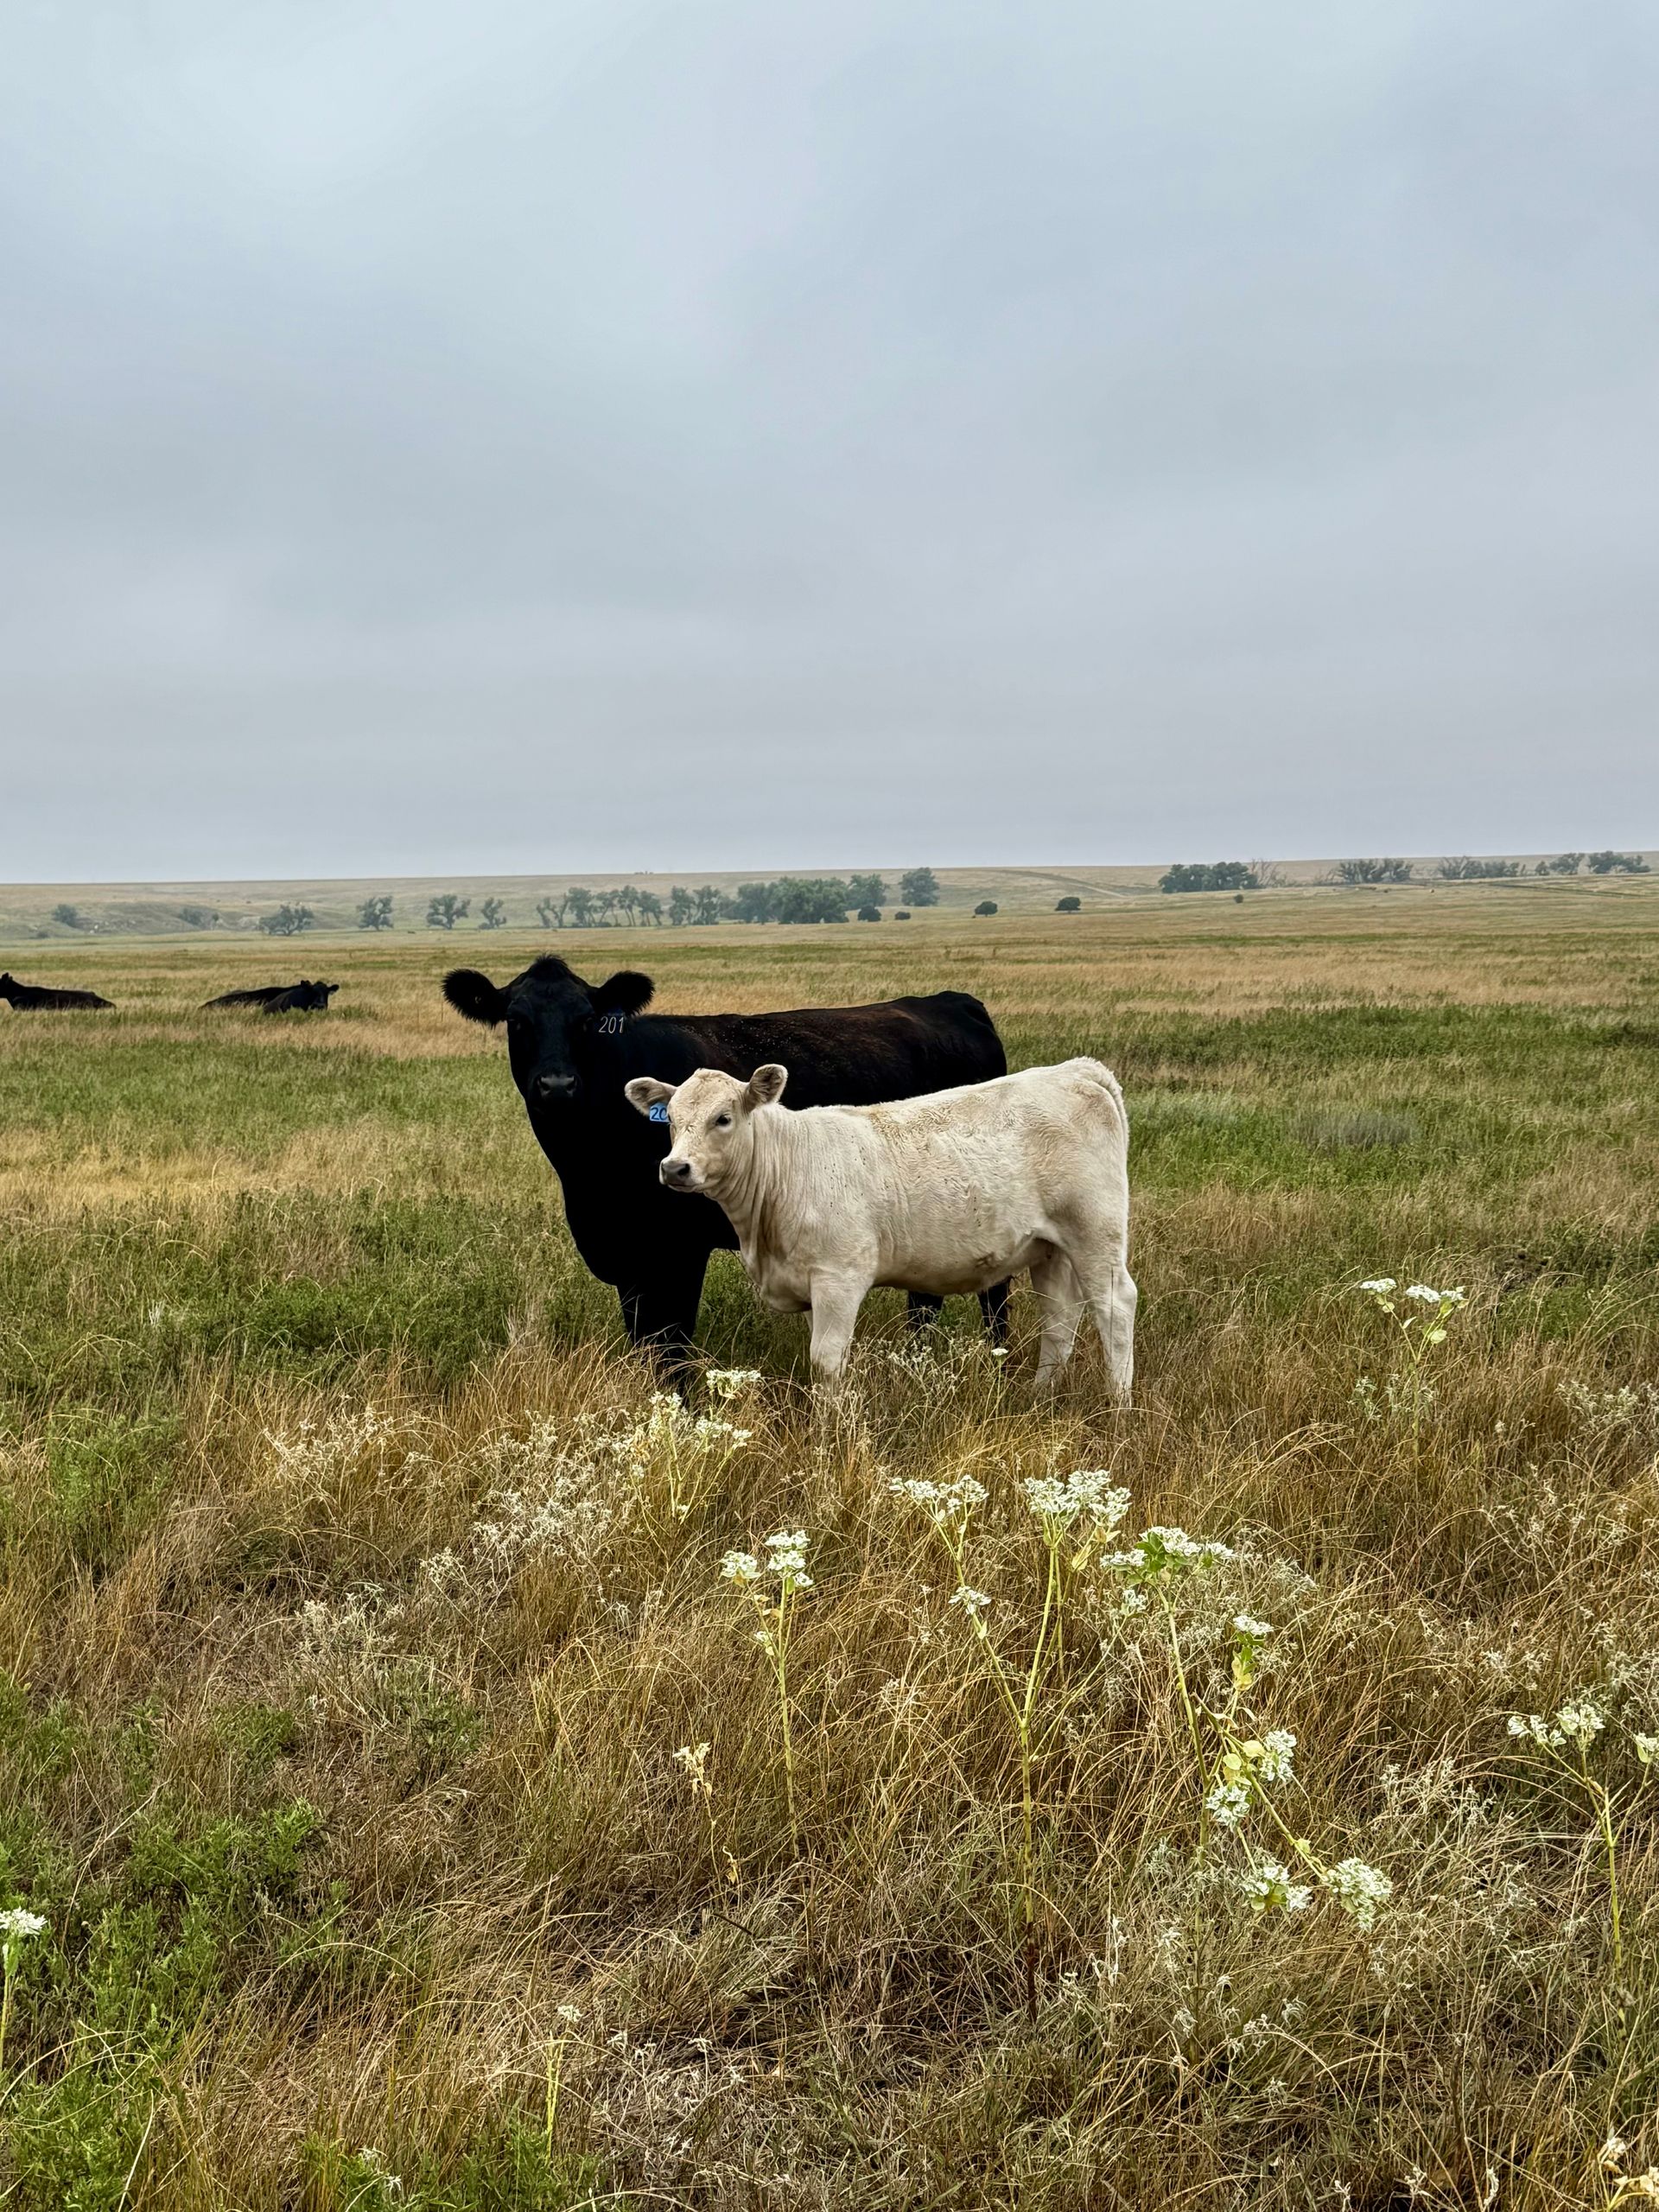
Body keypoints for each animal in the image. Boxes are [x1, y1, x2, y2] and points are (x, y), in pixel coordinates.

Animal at [441, 956, 1011, 1369]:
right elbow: (643, 1345)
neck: (589, 1174)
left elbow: (672, 1352)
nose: (557, 1085)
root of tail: (951, 1001)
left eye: (588, 1022)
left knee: (995, 1295)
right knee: (926, 1300)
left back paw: (1000, 1362)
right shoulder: (627, 1256)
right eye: (516, 1021)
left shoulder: (678, 1252)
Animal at [625, 1058, 1135, 1400]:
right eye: (671, 1121)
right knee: (1060, 1319)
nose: (674, 1168)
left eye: (723, 1119)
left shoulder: (839, 1277)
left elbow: (826, 1360)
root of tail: (1075, 1071)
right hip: (1049, 1247)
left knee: (1115, 1307)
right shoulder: (809, 1283)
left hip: (1096, 1233)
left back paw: (1119, 1407)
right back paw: (1040, 1397)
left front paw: (827, 1438)